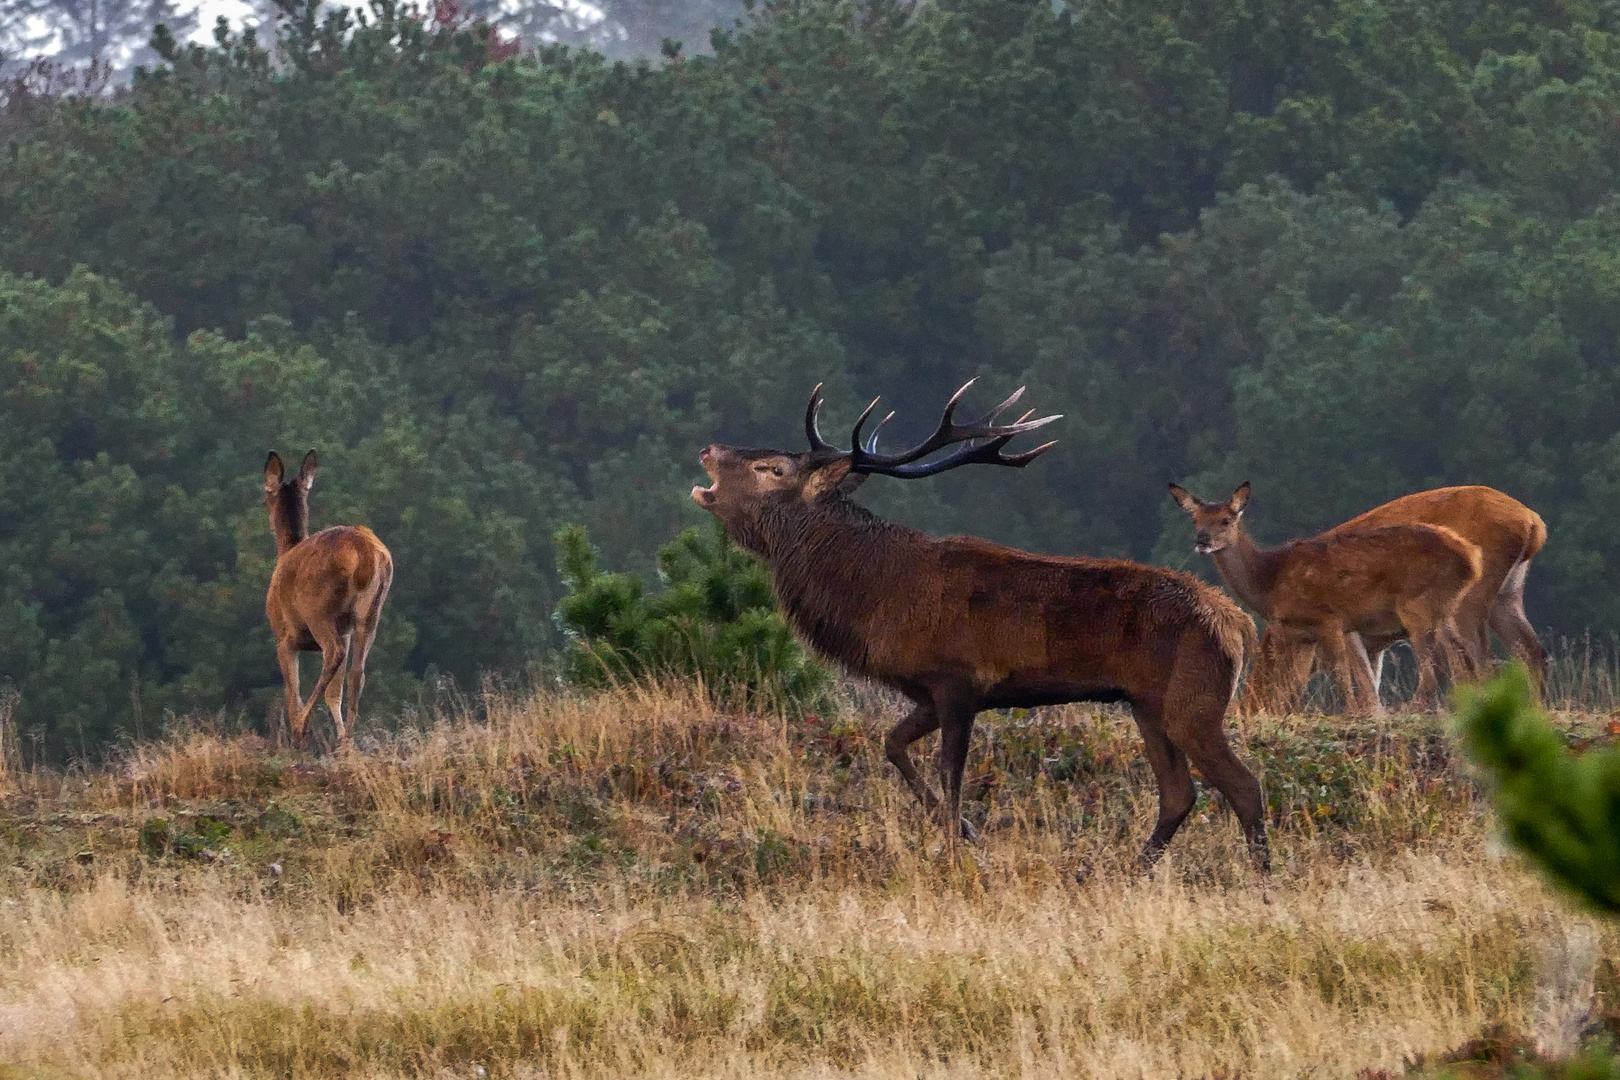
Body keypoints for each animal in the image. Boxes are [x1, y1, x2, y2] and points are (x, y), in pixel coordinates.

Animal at [265, 450, 395, 751]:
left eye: (265, 495)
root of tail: (366, 554)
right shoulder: (343, 631)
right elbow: (333, 692)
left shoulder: (284, 639)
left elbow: (292, 692)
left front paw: (297, 733)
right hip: (370, 613)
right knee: (357, 673)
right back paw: (347, 739)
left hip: (319, 611)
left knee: (334, 654)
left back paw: (302, 726)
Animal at [690, 380, 1270, 867]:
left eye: (773, 469)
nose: (708, 449)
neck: (877, 599)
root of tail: (1239, 624)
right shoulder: (925, 690)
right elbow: (893, 746)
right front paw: (966, 833)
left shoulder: (959, 681)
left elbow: (951, 776)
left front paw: (959, 848)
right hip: (1147, 703)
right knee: (1178, 794)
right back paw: (1130, 872)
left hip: (1195, 698)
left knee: (1244, 786)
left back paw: (1261, 880)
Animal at [1166, 485, 1483, 712]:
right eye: (1195, 519)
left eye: (1226, 519)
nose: (1202, 540)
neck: (1269, 582)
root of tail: (1471, 557)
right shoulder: (1302, 635)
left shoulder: (1329, 617)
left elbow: (1342, 675)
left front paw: (1354, 713)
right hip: (1444, 608)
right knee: (1464, 657)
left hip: (1416, 605)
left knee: (1432, 668)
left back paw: (1413, 707)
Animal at [1244, 488, 1548, 709]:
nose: (1260, 708)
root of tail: (1533, 523)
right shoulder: (1374, 640)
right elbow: (1372, 680)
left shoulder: (1342, 625)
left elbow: (1364, 680)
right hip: (1507, 595)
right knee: (1530, 650)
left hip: (1467, 600)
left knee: (1480, 658)